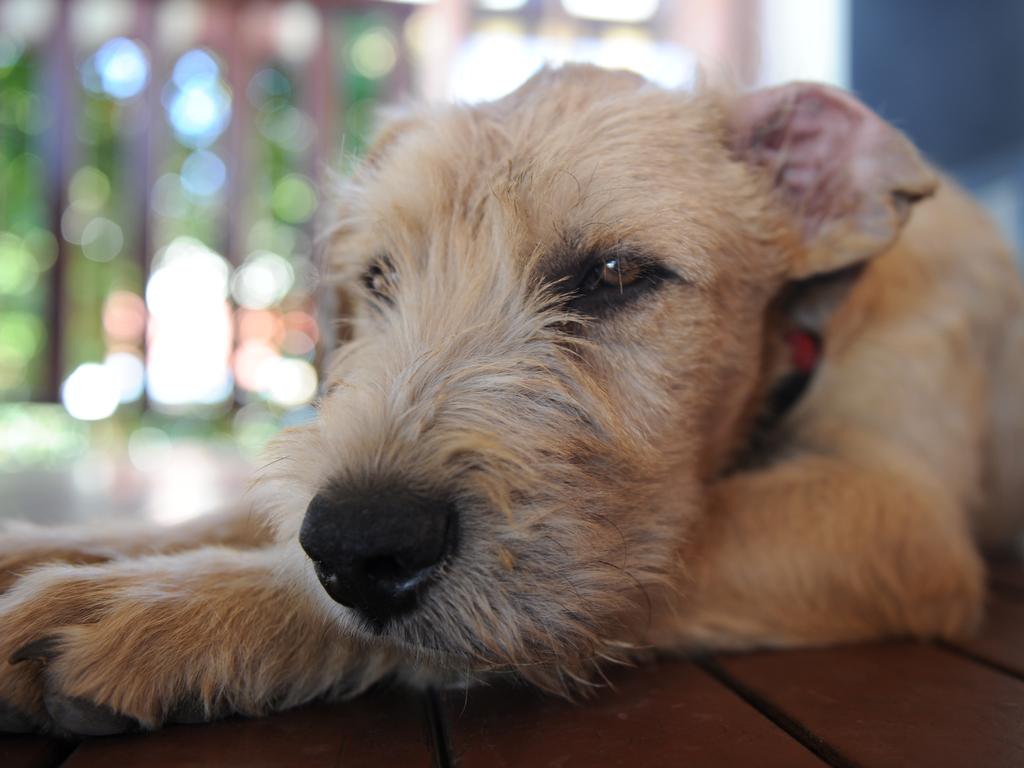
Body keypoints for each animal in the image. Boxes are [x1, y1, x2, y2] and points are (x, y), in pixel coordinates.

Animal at [2, 67, 1024, 741]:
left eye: (616, 274)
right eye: (379, 278)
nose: (358, 541)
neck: (813, 324)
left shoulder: (894, 515)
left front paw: (169, 607)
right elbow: (235, 513)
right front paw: (69, 546)